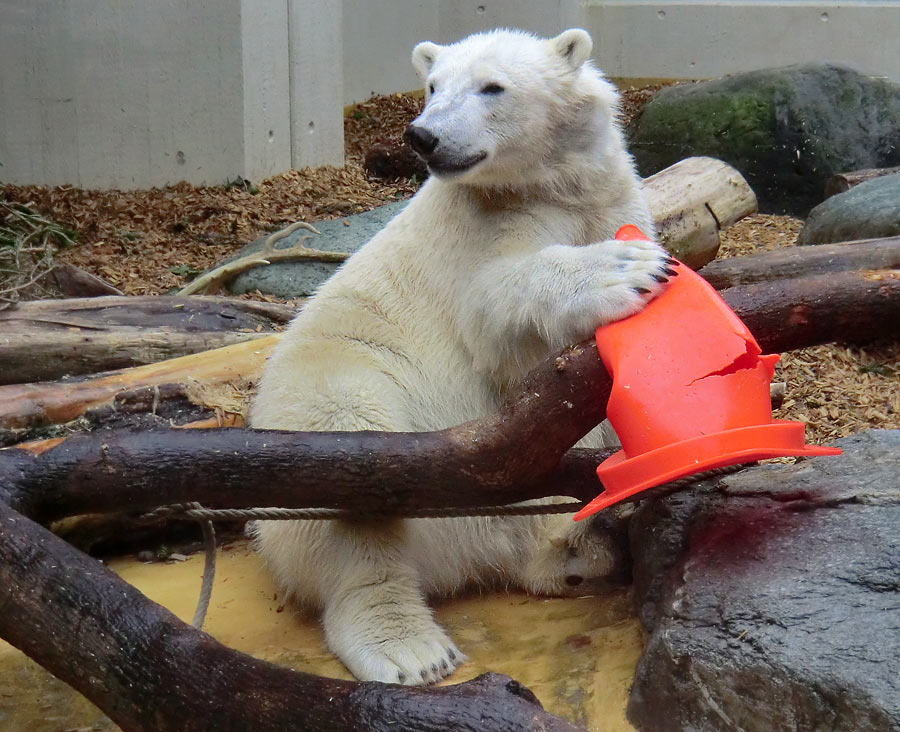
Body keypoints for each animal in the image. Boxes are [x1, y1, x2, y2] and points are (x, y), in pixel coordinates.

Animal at [250, 28, 672, 688]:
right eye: (431, 86)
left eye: (491, 86)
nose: (422, 135)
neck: (549, 184)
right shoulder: (479, 228)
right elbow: (494, 311)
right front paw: (624, 270)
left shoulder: (609, 197)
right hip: (334, 379)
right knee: (352, 483)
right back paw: (410, 648)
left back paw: (583, 548)